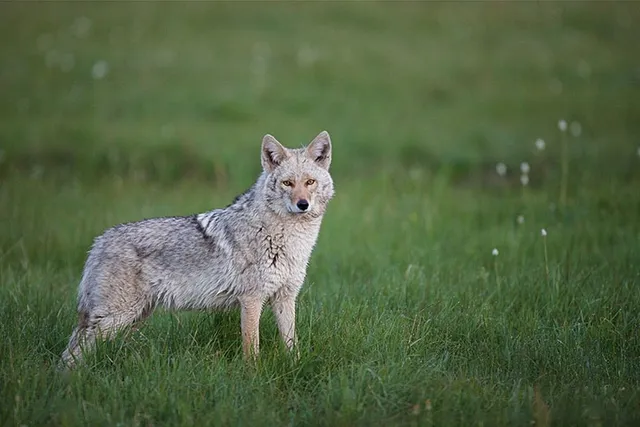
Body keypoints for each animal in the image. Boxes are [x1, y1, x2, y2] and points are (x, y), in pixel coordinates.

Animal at [59, 131, 334, 369]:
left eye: (309, 182)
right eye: (288, 183)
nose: (302, 204)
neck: (288, 241)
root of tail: (99, 241)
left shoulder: (285, 297)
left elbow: (291, 344)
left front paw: (296, 366)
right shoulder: (251, 299)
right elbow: (252, 348)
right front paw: (253, 375)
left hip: (134, 318)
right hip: (115, 318)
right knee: (71, 355)